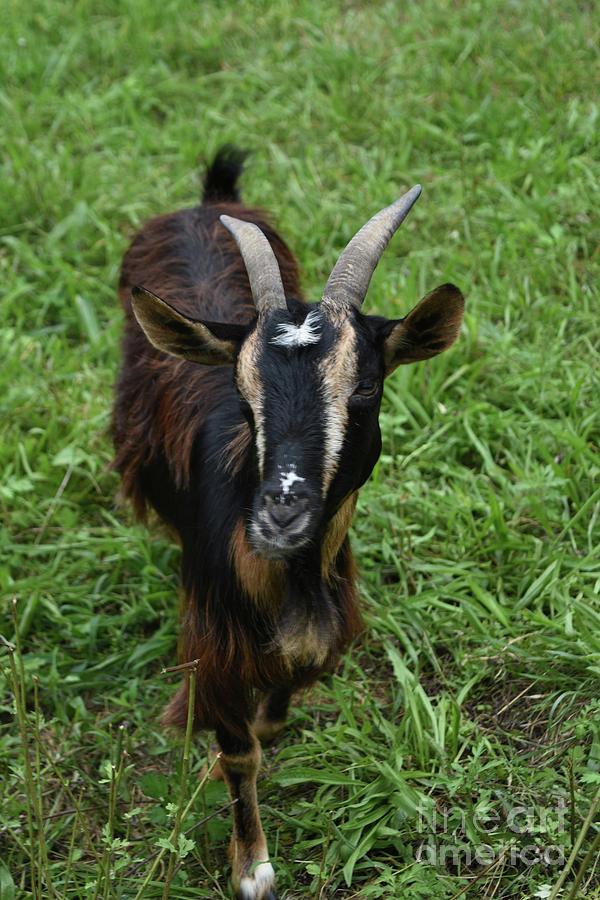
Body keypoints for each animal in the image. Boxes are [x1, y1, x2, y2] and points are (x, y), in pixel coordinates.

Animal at [112, 149, 466, 900]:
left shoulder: (326, 620)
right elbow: (239, 751)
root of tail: (207, 199)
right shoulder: (213, 640)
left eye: (366, 385)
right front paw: (252, 865)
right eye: (244, 394)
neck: (293, 577)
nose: (280, 512)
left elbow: (280, 699)